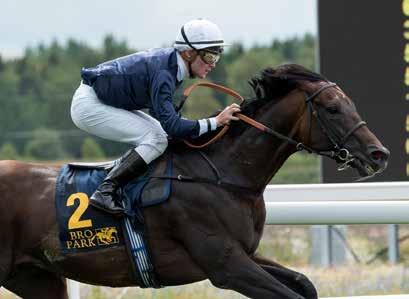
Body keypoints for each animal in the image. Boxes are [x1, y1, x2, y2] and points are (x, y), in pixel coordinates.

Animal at [0, 65, 388, 299]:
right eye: (333, 109)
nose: (379, 154)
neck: (223, 176)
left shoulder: (245, 253)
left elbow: (304, 283)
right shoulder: (226, 265)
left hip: (37, 278)